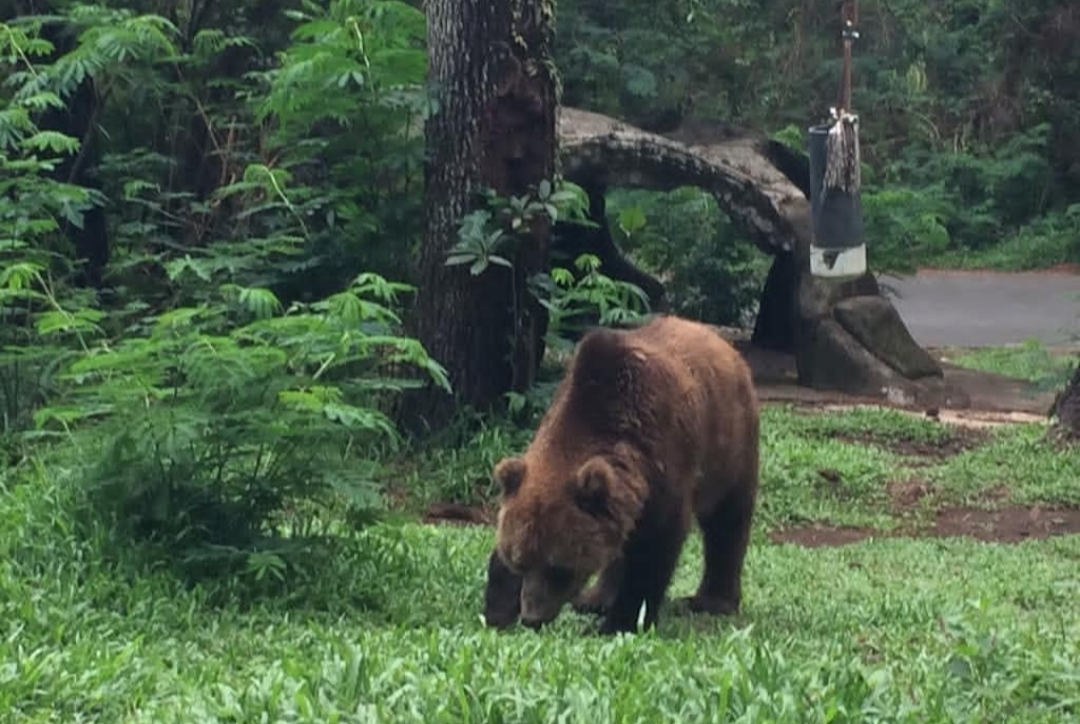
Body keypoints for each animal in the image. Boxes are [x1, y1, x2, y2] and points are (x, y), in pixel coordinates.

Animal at [486, 315, 756, 631]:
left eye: (558, 567)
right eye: (520, 560)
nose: (532, 617)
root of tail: (716, 339)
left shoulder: (666, 465)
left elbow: (652, 552)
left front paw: (621, 621)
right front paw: (497, 608)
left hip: (730, 447)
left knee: (728, 520)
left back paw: (714, 600)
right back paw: (595, 598)